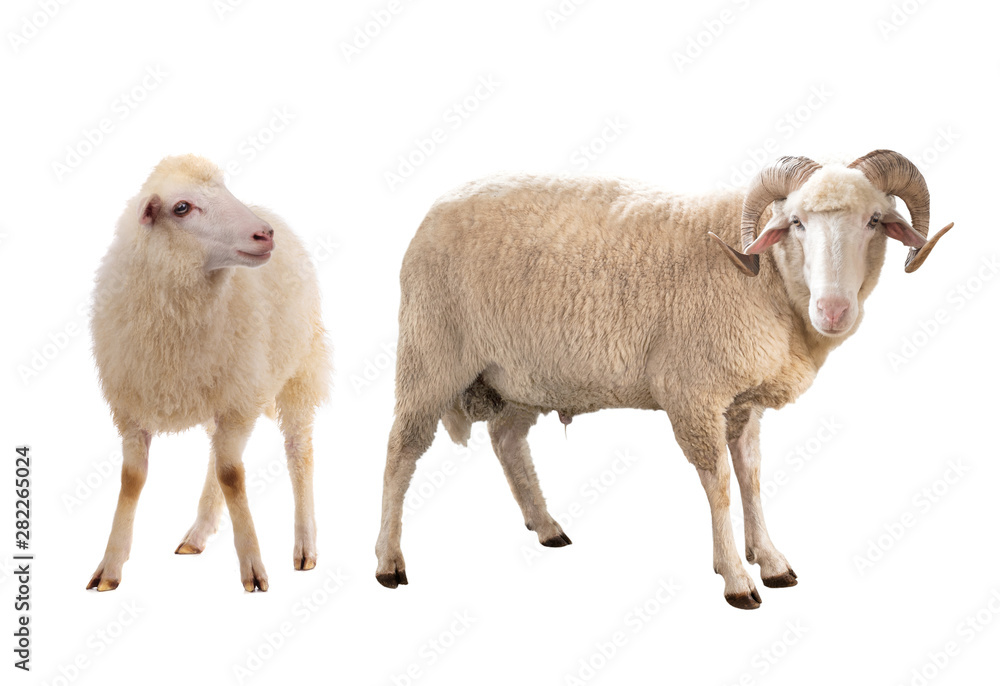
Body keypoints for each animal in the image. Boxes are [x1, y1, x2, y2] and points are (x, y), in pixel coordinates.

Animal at [88, 154, 331, 593]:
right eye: (182, 207)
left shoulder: (238, 399)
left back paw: (305, 546)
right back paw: (198, 534)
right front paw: (110, 567)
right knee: (218, 458)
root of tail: (271, 211)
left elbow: (233, 475)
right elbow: (132, 479)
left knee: (298, 451)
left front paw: (252, 566)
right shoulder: (132, 406)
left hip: (298, 368)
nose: (264, 234)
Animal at [374, 149, 953, 608]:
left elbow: (751, 477)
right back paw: (388, 561)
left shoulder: (743, 401)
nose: (833, 310)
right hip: (431, 353)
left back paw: (547, 527)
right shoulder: (693, 392)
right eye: (796, 222)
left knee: (507, 441)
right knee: (401, 451)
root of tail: (435, 209)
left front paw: (769, 559)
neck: (765, 278)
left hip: (520, 373)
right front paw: (736, 577)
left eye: (875, 220)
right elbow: (720, 484)